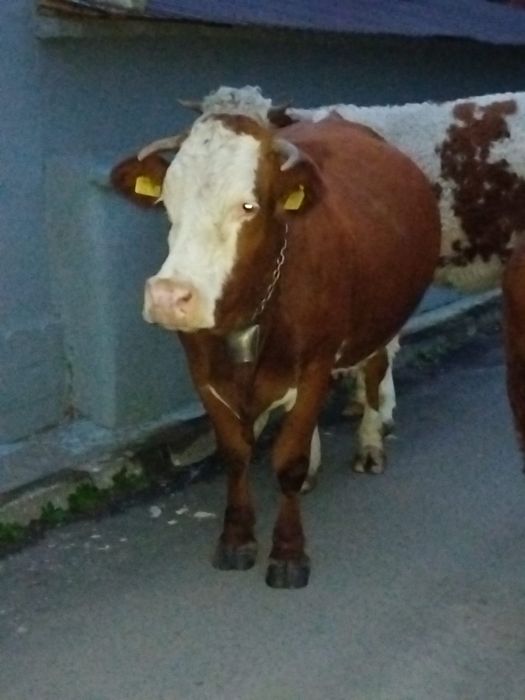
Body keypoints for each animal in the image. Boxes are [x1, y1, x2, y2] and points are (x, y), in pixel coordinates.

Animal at [111, 108, 440, 587]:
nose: (168, 297)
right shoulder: (203, 372)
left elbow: (288, 459)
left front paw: (288, 552)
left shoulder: (317, 361)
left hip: (379, 320)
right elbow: (236, 454)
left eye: (248, 206)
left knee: (375, 374)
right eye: (167, 203)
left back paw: (370, 444)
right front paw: (235, 538)